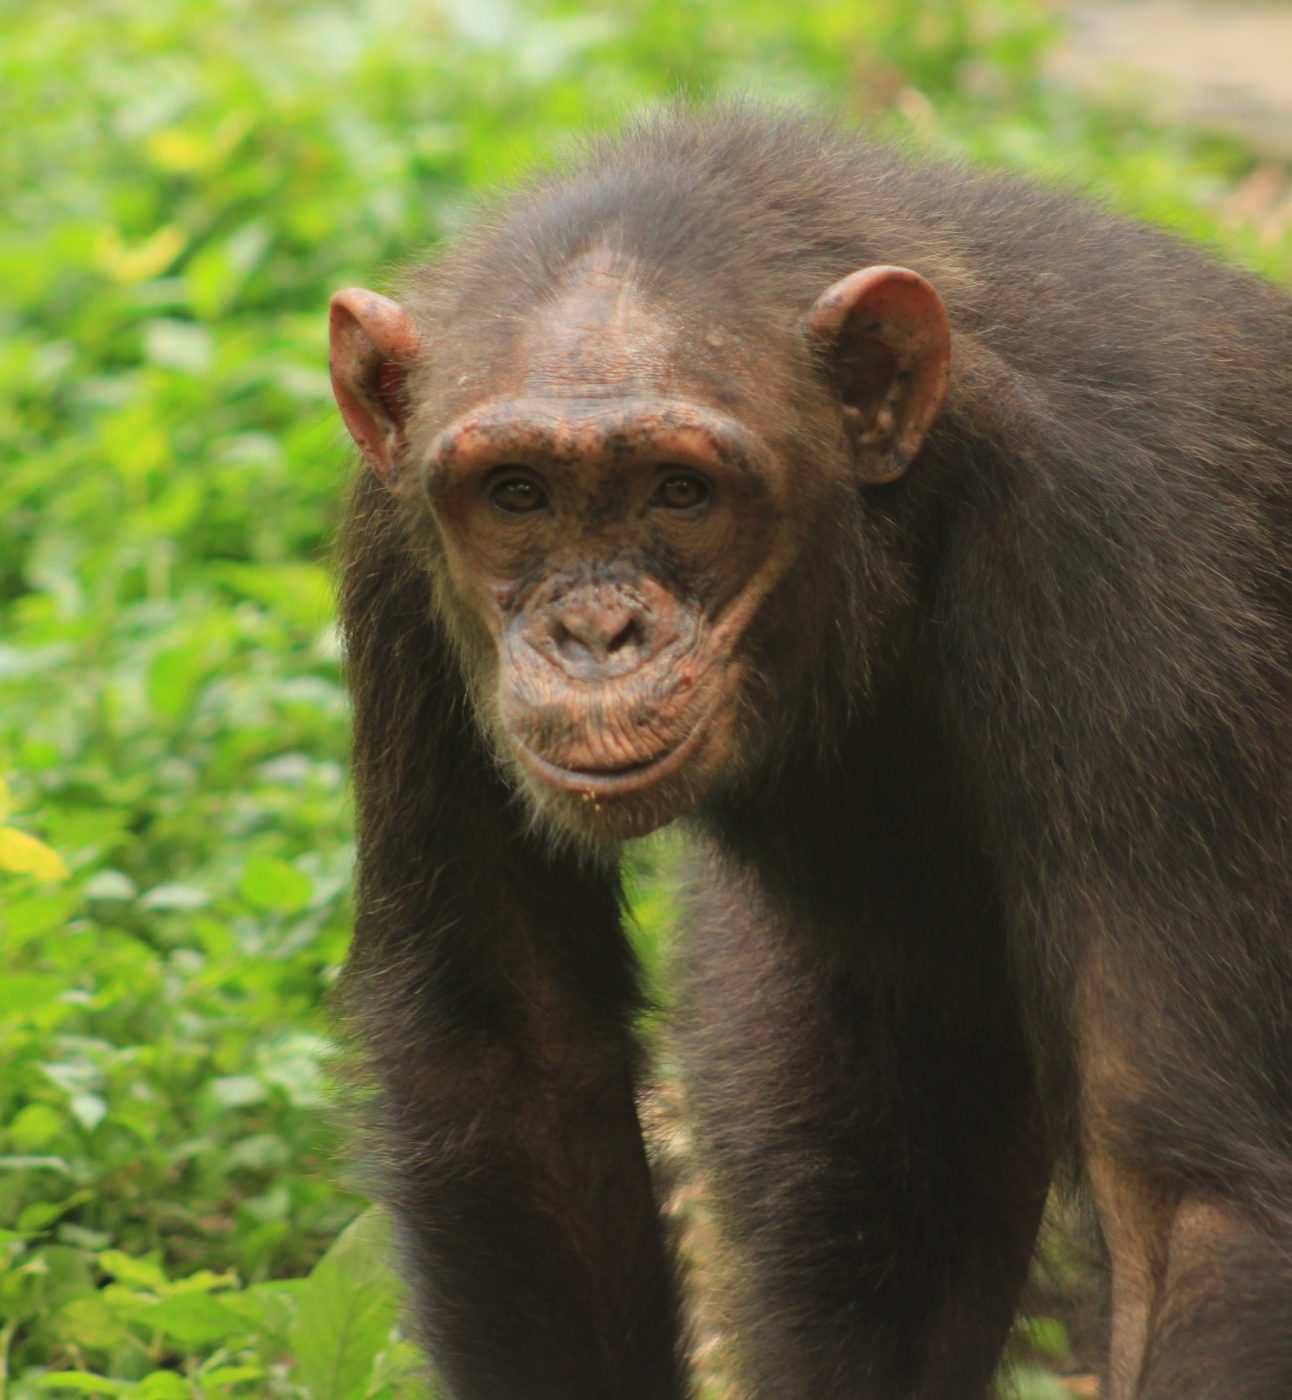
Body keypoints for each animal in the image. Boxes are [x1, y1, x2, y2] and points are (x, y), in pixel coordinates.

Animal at [328, 109, 1292, 1400]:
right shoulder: (390, 536)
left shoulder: (1134, 550)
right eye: (517, 494)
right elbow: (510, 1048)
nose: (594, 630)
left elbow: (1187, 1199)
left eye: (679, 491)